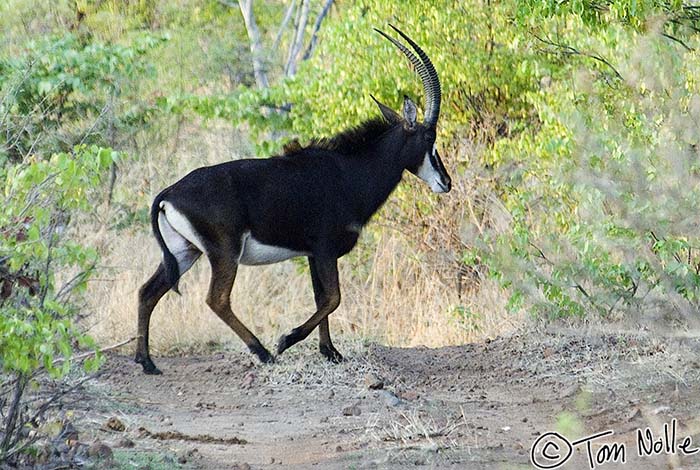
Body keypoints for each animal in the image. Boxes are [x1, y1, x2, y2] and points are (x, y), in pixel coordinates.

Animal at [135, 25, 452, 374]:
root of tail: (168, 194)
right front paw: (287, 340)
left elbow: (321, 298)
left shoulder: (314, 254)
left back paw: (147, 362)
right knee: (216, 299)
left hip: (185, 251)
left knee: (147, 292)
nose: (446, 182)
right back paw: (263, 352)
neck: (350, 171)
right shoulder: (325, 249)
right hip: (224, 252)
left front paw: (330, 352)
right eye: (429, 137)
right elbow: (334, 298)